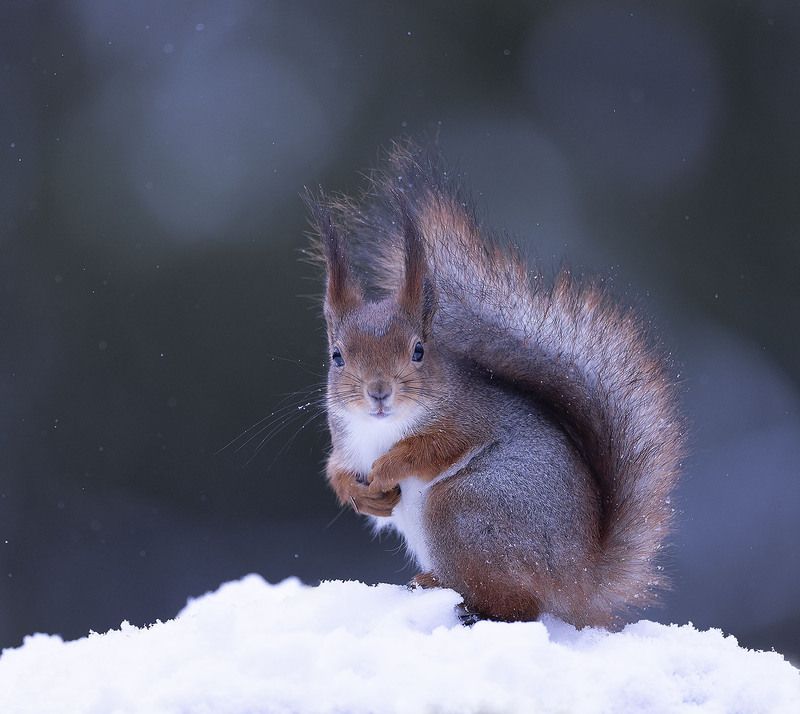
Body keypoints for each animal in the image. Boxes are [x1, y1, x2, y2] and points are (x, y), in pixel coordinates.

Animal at [307, 141, 683, 628]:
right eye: (337, 356)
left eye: (418, 351)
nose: (378, 392)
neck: (380, 428)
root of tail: (581, 581)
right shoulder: (347, 440)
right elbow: (338, 470)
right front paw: (360, 494)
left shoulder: (465, 418)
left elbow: (432, 448)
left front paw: (389, 467)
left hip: (465, 508)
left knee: (519, 606)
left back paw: (452, 593)